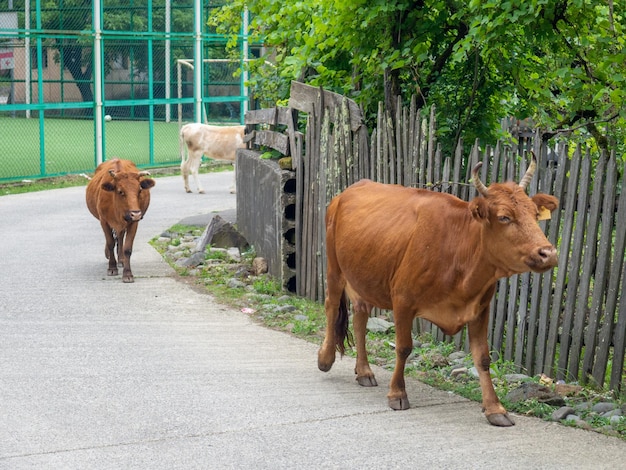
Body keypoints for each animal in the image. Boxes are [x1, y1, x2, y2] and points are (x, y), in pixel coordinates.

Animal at [316, 156, 556, 428]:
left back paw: (364, 371)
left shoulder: (480, 308)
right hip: (335, 268)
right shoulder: (402, 300)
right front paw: (397, 393)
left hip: (363, 278)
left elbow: (483, 358)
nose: (548, 253)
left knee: (360, 318)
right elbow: (403, 347)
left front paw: (495, 408)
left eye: (535, 214)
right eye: (504, 217)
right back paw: (325, 359)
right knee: (331, 305)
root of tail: (348, 191)